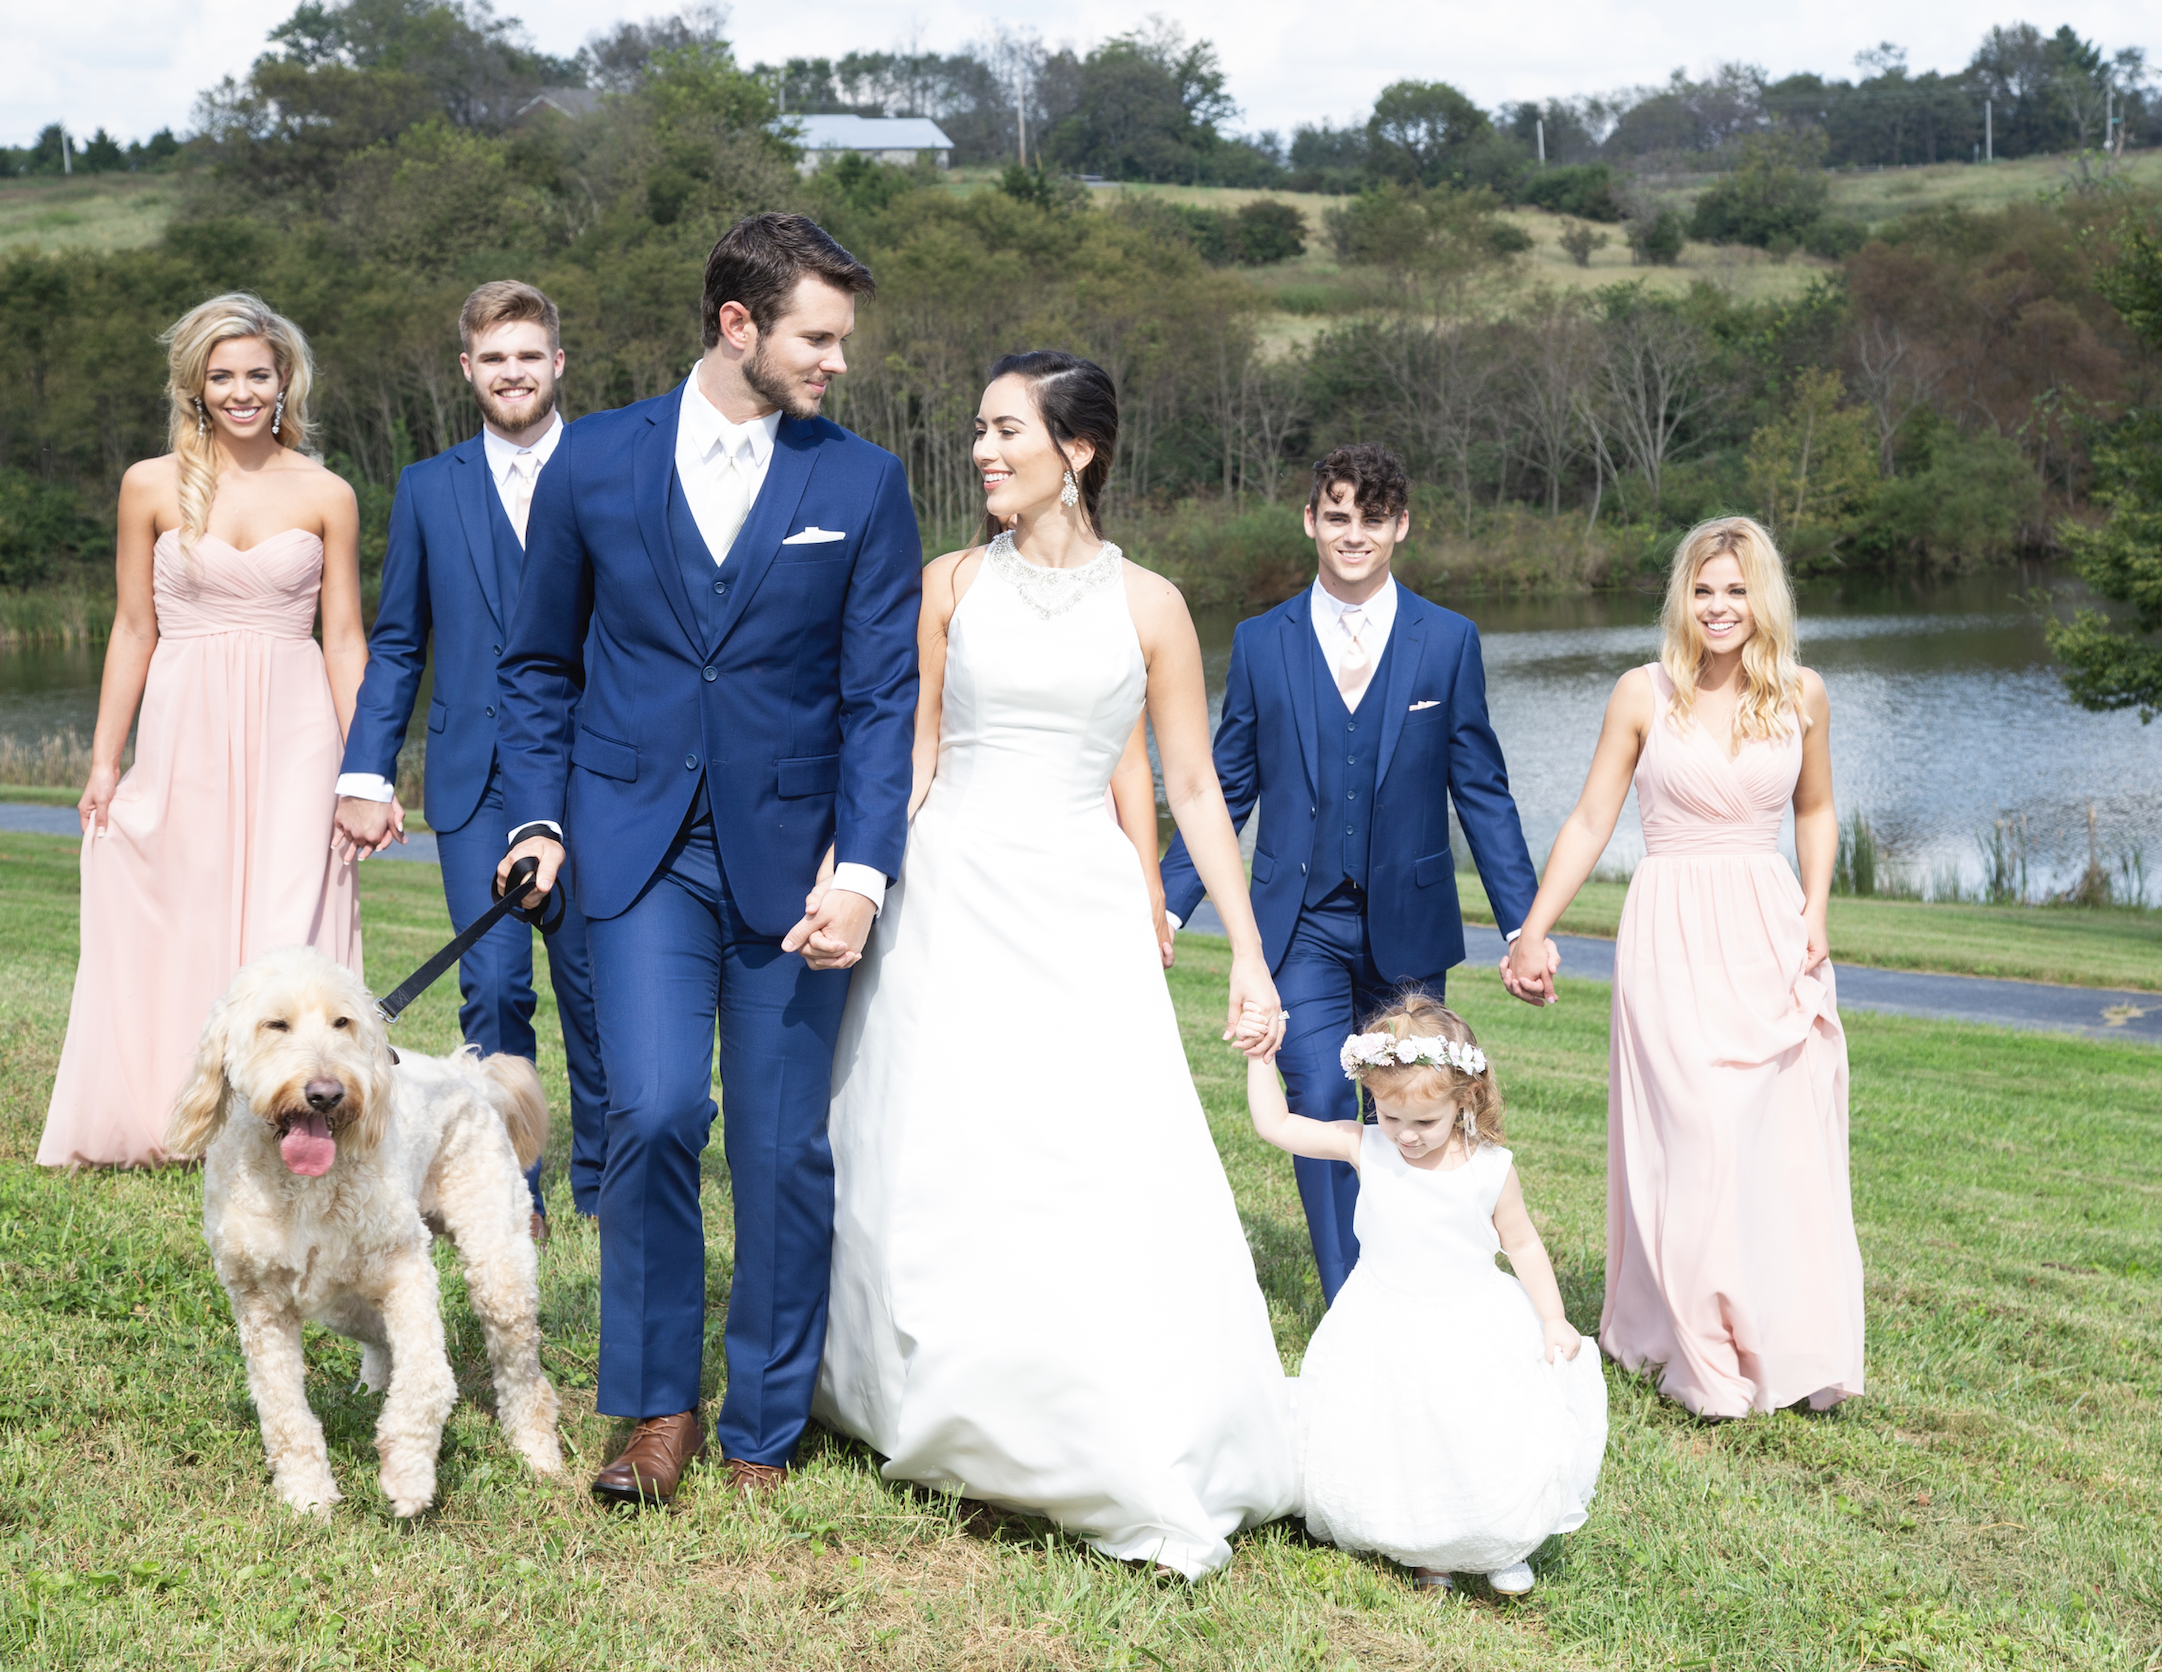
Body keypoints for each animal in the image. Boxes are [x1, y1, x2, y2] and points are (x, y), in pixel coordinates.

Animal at [171, 947, 566, 1522]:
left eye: (343, 1022)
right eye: (275, 1024)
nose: (326, 1094)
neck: (305, 1187)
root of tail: (467, 1075)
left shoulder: (408, 1272)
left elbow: (429, 1381)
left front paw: (408, 1473)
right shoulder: (261, 1306)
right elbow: (284, 1414)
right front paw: (307, 1495)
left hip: (498, 1269)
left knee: (521, 1373)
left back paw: (537, 1452)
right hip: (339, 1300)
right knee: (379, 1337)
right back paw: (371, 1389)